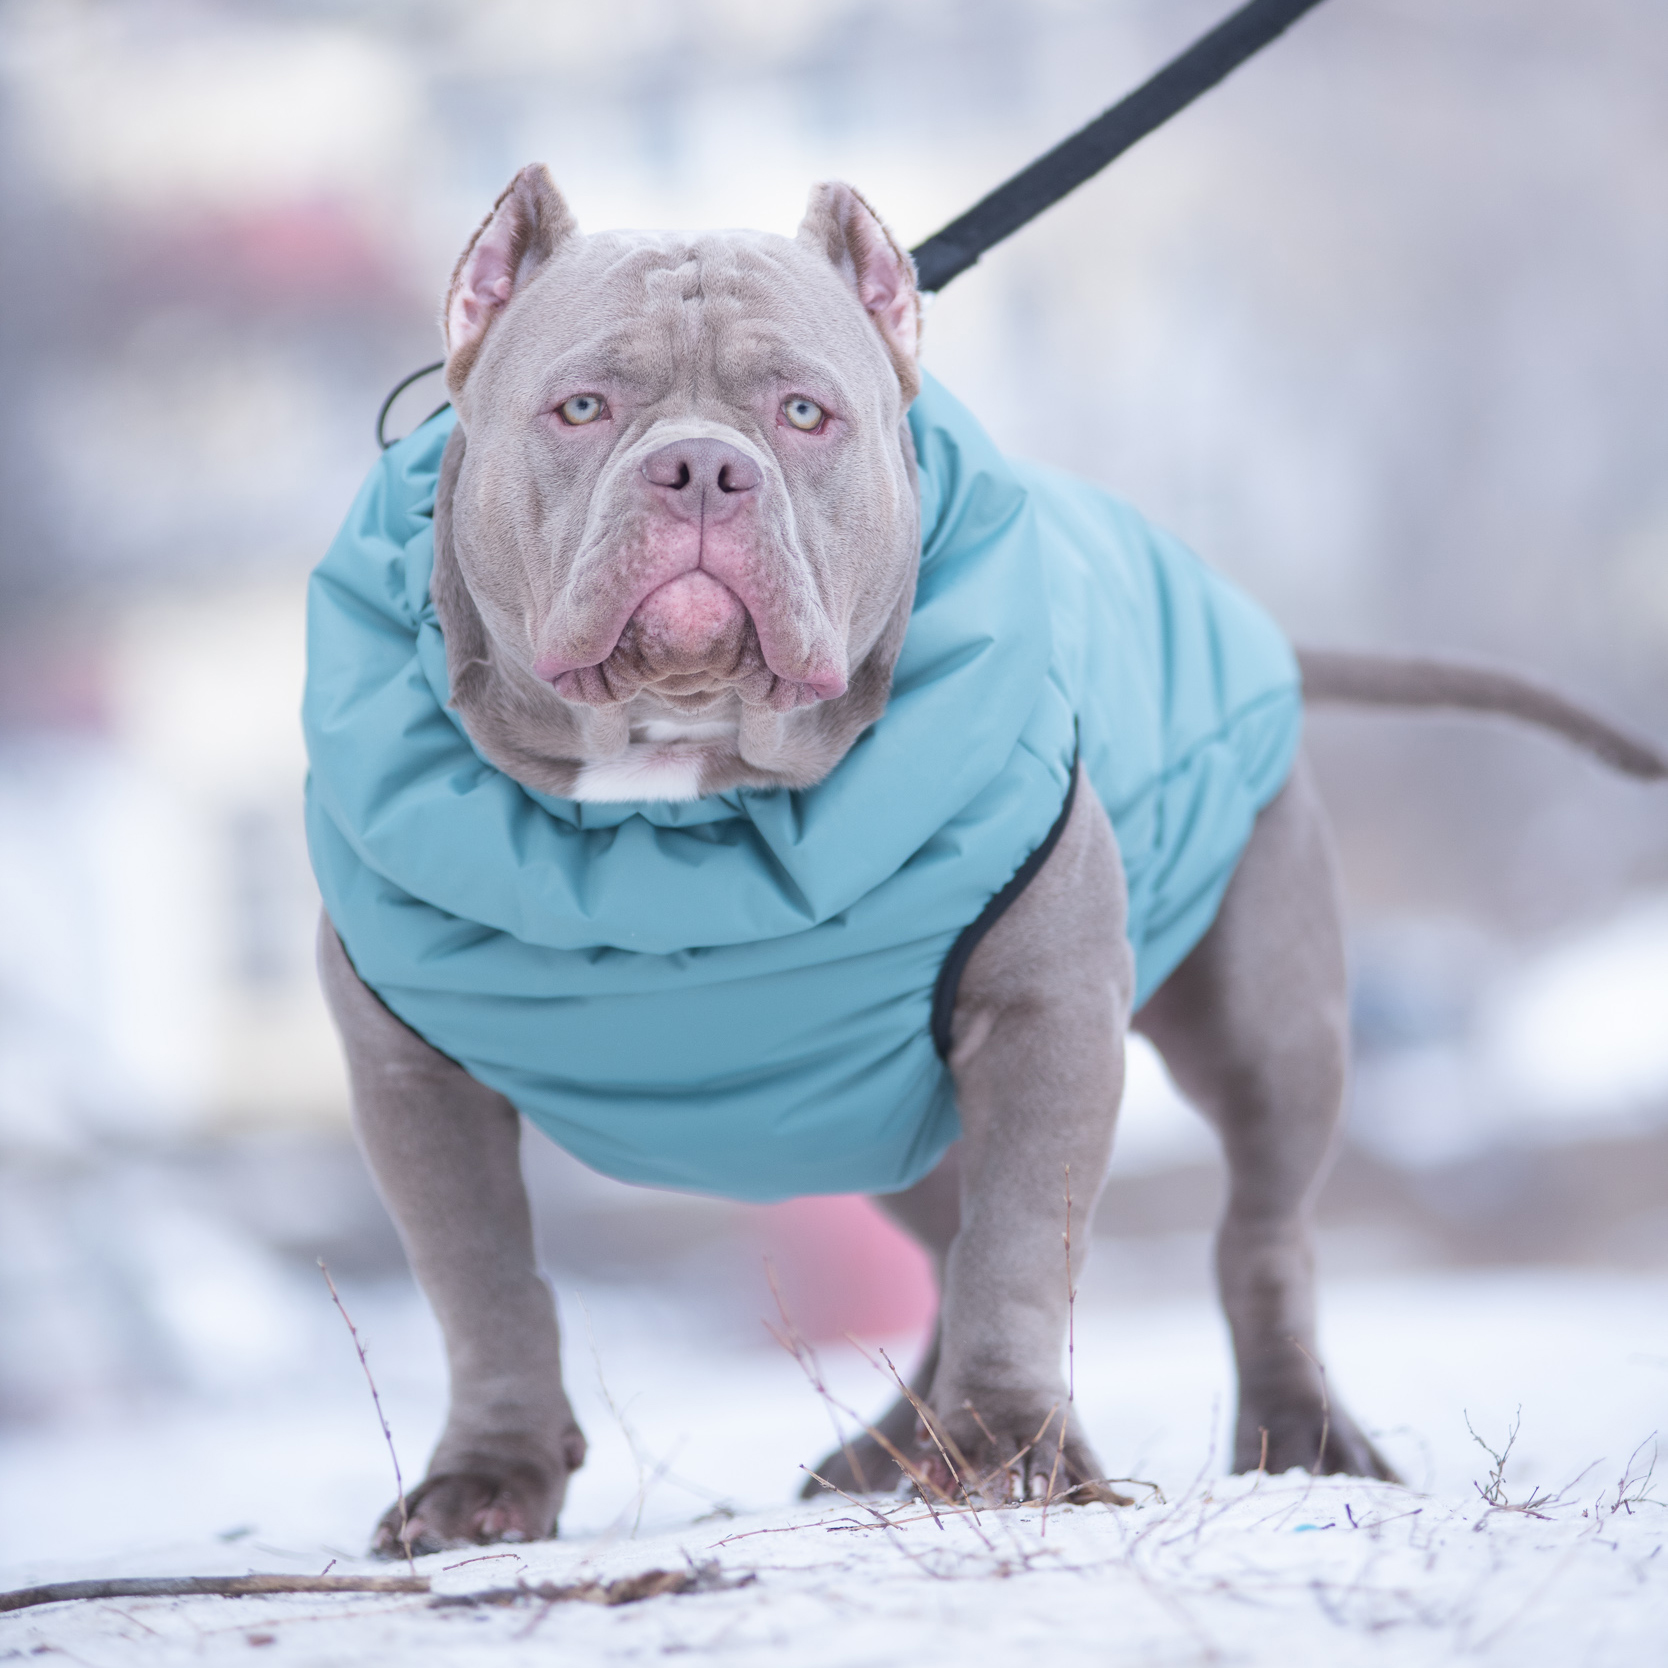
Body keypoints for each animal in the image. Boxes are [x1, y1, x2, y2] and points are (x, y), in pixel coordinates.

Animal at [303, 159, 1668, 1547]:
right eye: (581, 406)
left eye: (805, 413)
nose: (699, 467)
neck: (681, 795)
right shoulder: (410, 1078)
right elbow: (482, 1287)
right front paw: (486, 1478)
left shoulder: (1046, 1017)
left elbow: (1020, 1244)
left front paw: (1014, 1451)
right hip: (877, 1113)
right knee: (947, 1244)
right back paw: (888, 1452)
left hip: (1269, 1036)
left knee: (1258, 1234)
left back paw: (1297, 1438)